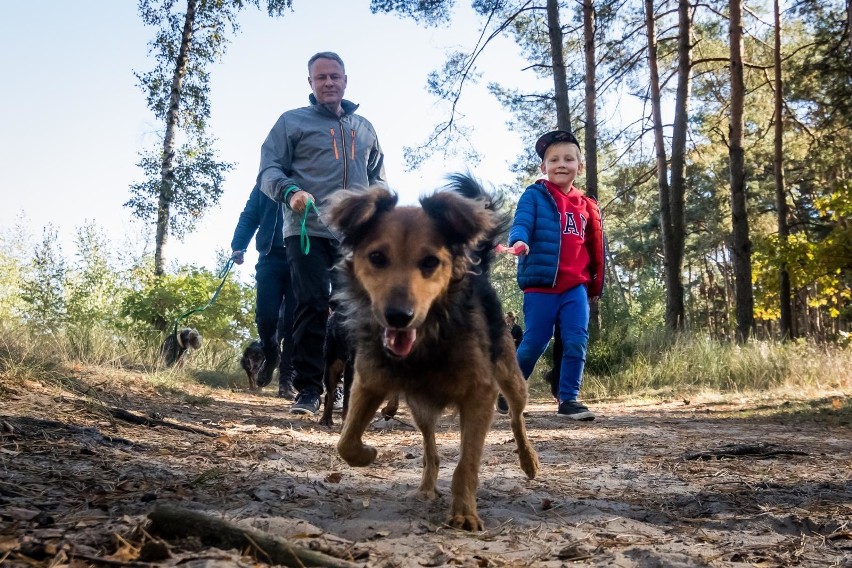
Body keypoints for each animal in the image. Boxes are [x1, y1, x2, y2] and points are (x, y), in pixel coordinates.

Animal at [328, 171, 540, 532]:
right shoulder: (370, 382)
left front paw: (465, 512)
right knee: (431, 451)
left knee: (516, 416)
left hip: (511, 377)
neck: (427, 339)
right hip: (421, 409)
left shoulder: (480, 393)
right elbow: (346, 442)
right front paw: (367, 454)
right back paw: (427, 487)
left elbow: (467, 463)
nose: (399, 316)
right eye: (377, 258)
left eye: (430, 262)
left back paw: (528, 461)